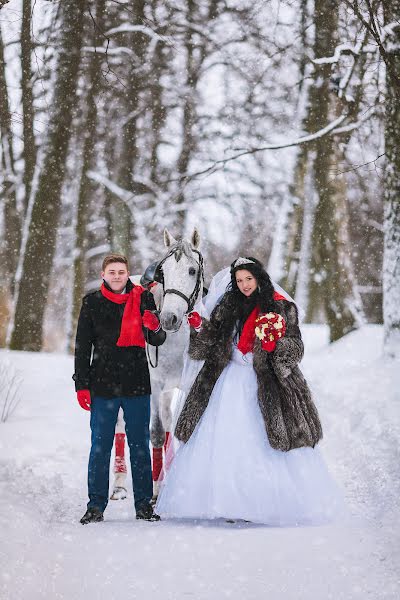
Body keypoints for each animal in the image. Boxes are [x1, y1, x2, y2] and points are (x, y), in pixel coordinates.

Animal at [110, 227, 205, 500]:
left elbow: (177, 429)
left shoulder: (186, 384)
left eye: (192, 270)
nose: (168, 318)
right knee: (120, 425)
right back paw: (119, 484)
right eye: (163, 273)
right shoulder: (153, 384)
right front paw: (153, 491)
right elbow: (156, 434)